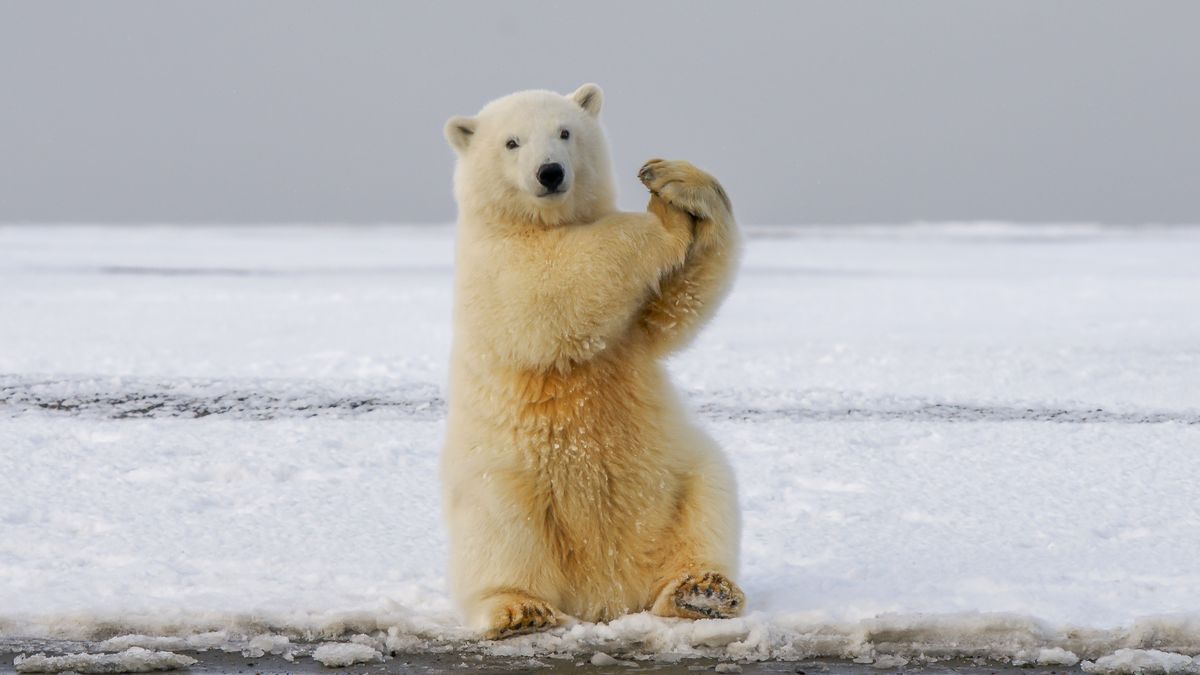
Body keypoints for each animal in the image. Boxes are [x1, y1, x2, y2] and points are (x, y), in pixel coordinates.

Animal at [441, 83, 744, 639]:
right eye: (512, 142)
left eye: (565, 132)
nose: (550, 172)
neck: (539, 222)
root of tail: (605, 594)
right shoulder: (493, 262)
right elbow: (552, 284)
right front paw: (663, 220)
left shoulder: (634, 332)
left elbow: (675, 307)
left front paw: (674, 181)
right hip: (504, 480)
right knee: (501, 532)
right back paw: (521, 609)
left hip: (676, 474)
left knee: (708, 498)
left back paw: (702, 591)